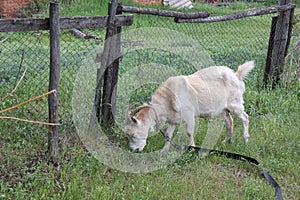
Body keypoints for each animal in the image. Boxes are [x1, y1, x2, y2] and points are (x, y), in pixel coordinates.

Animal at [123, 61, 253, 152]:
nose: (133, 150)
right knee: (229, 121)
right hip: (223, 109)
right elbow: (168, 134)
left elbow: (189, 132)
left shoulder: (189, 115)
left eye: (133, 134)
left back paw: (246, 140)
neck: (168, 98)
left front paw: (192, 149)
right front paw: (164, 150)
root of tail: (236, 75)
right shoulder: (173, 119)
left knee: (245, 118)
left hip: (235, 104)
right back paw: (226, 141)